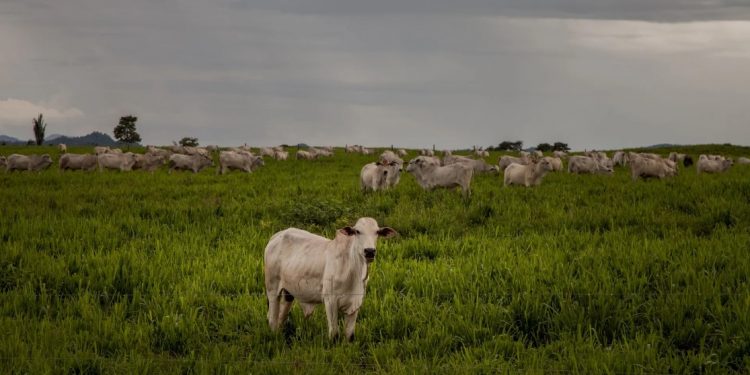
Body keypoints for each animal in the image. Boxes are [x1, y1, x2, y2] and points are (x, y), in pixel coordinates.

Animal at [264, 217, 396, 344]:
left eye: (377, 232)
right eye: (357, 231)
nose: (369, 251)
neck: (353, 271)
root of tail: (276, 236)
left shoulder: (356, 303)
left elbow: (350, 336)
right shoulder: (330, 301)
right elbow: (334, 335)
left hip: (288, 292)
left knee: (281, 316)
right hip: (272, 289)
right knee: (272, 319)